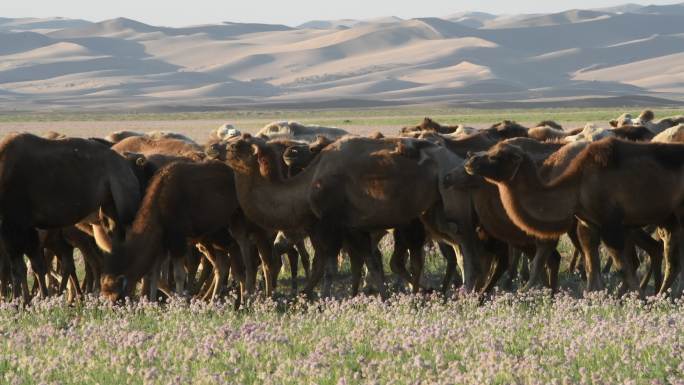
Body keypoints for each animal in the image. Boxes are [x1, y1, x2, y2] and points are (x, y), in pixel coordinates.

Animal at [0, 132, 140, 300]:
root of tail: (127, 165)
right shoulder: (22, 229)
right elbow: (29, 266)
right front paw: (28, 299)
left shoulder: (17, 225)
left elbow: (24, 268)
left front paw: (26, 301)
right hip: (109, 209)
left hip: (126, 205)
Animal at [462, 136, 684, 296]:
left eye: (496, 156)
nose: (470, 160)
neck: (577, 186)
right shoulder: (588, 225)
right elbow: (591, 267)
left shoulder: (611, 224)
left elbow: (622, 267)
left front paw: (639, 300)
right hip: (668, 222)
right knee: (669, 259)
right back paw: (660, 296)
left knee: (669, 260)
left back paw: (658, 298)